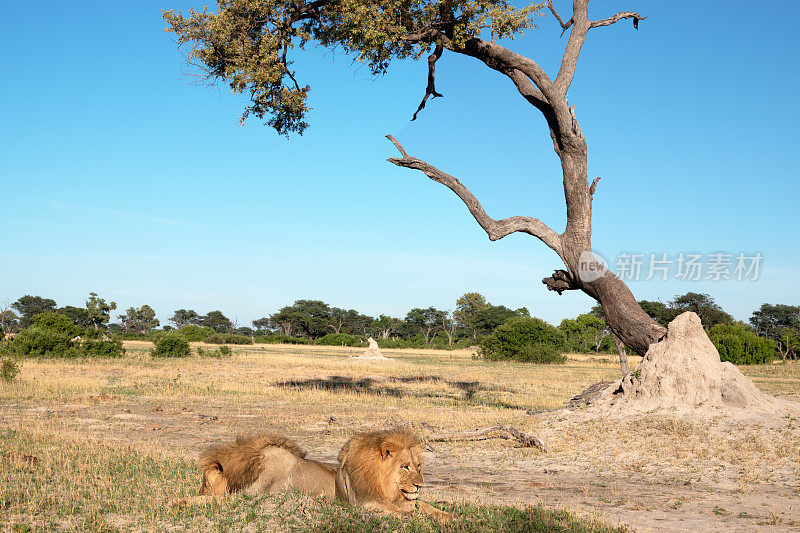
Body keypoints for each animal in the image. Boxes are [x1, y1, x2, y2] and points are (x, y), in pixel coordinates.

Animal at [175, 428, 450, 520]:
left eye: (417, 466)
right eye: (405, 466)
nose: (421, 485)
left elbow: (428, 508)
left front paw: (450, 518)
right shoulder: (364, 502)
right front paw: (179, 501)